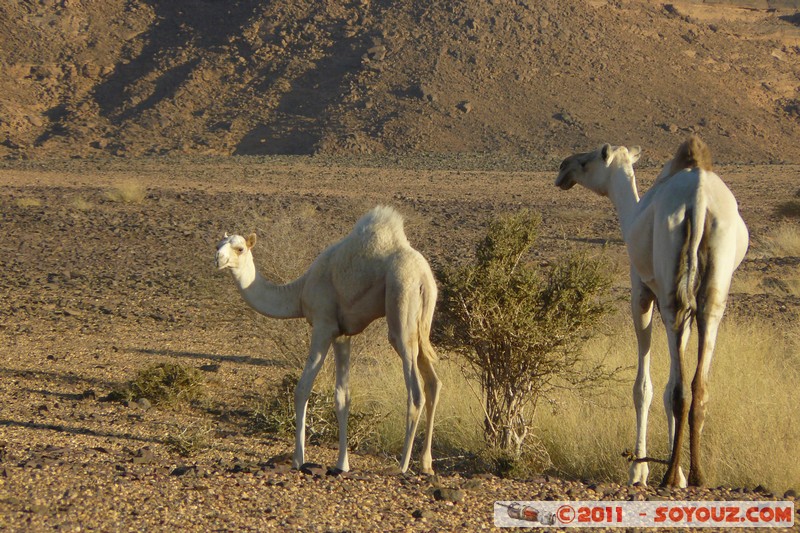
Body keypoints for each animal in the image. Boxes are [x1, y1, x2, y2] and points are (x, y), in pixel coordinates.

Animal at [215, 205, 441, 474]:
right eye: (218, 244)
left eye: (239, 248)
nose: (218, 259)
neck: (299, 293)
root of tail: (423, 277)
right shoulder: (342, 334)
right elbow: (343, 397)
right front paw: (342, 464)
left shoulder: (323, 326)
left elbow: (302, 389)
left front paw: (298, 459)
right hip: (424, 321)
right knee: (433, 383)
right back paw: (426, 464)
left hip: (401, 305)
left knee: (415, 391)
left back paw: (403, 465)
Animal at [555, 136, 749, 487]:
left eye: (587, 161)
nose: (564, 168)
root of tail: (698, 199)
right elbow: (671, 381)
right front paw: (678, 471)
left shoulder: (641, 292)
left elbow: (643, 387)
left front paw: (638, 470)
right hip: (713, 290)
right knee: (696, 384)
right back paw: (695, 475)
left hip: (670, 288)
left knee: (677, 388)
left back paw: (669, 475)